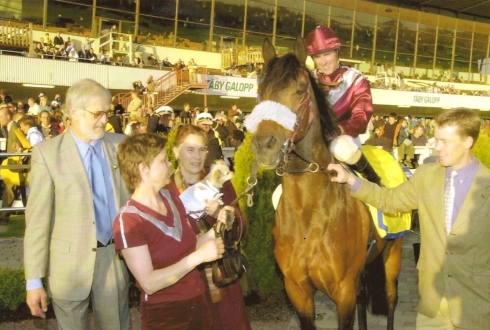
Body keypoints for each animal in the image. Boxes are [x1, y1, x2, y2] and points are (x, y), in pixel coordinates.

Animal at [245, 37, 402, 328]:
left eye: (300, 90)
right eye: (260, 89)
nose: (264, 146)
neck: (308, 213)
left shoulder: (343, 290)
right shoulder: (297, 290)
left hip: (393, 254)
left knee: (390, 298)